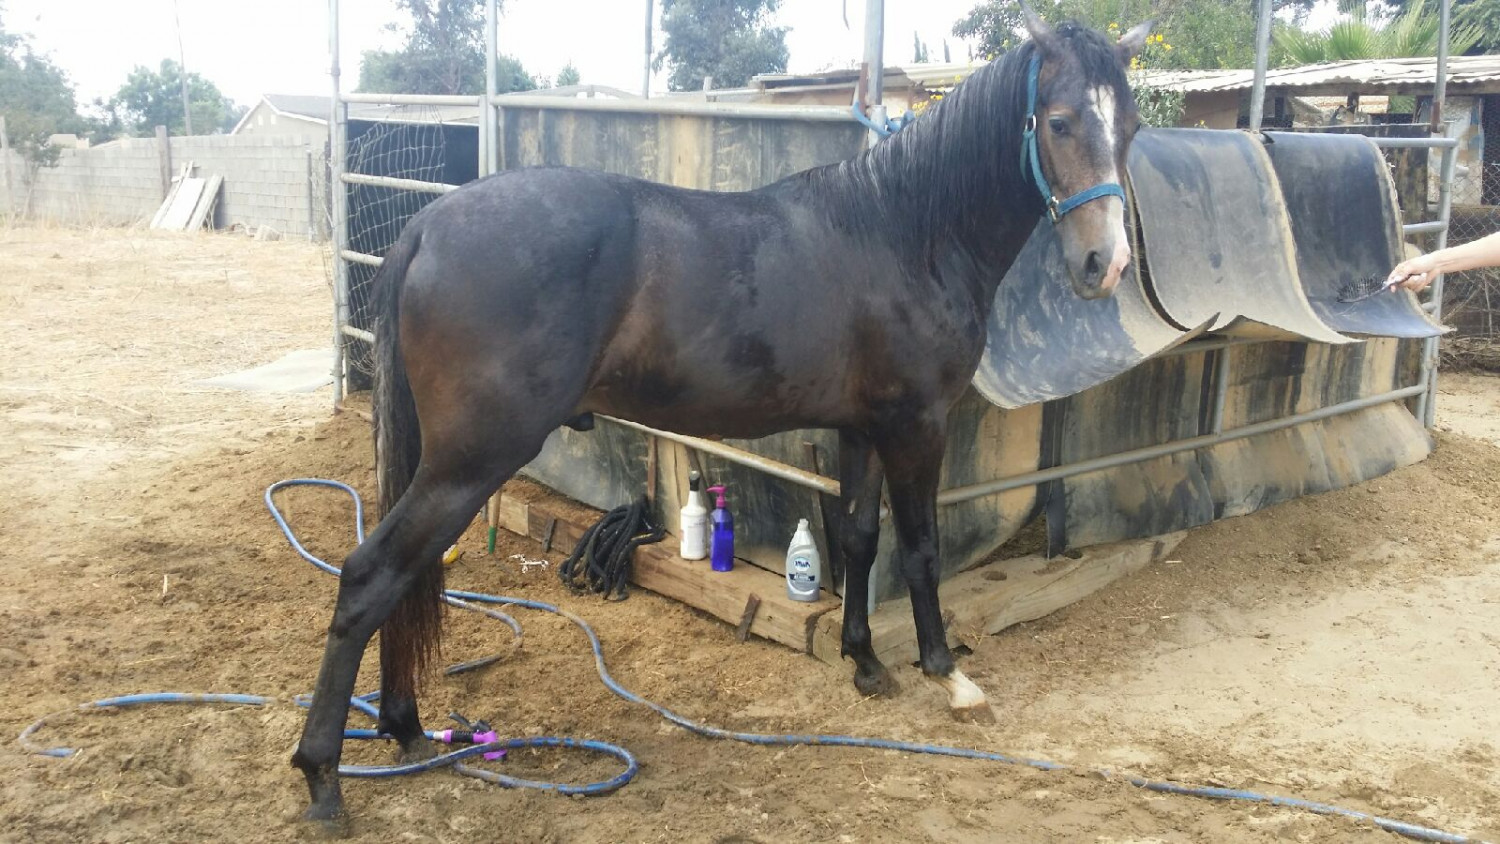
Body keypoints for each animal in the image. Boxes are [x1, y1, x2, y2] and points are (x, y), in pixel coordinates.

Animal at [292, 9, 1152, 828]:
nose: (1103, 265)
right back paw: (324, 777)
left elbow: (858, 540)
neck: (906, 232)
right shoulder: (917, 425)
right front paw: (948, 675)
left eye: (1131, 128)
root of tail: (428, 226)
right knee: (371, 575)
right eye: (1060, 121)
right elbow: (920, 550)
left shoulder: (862, 428)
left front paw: (866, 664)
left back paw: (404, 728)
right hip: (470, 461)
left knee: (405, 577)